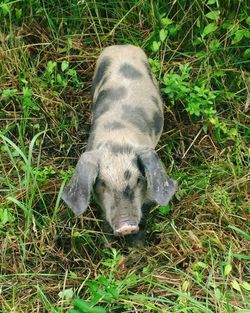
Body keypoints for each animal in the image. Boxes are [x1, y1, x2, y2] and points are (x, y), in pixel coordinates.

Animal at [61, 44, 177, 244]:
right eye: (102, 183)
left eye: (138, 180)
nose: (126, 227)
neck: (118, 138)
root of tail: (121, 46)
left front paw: (137, 244)